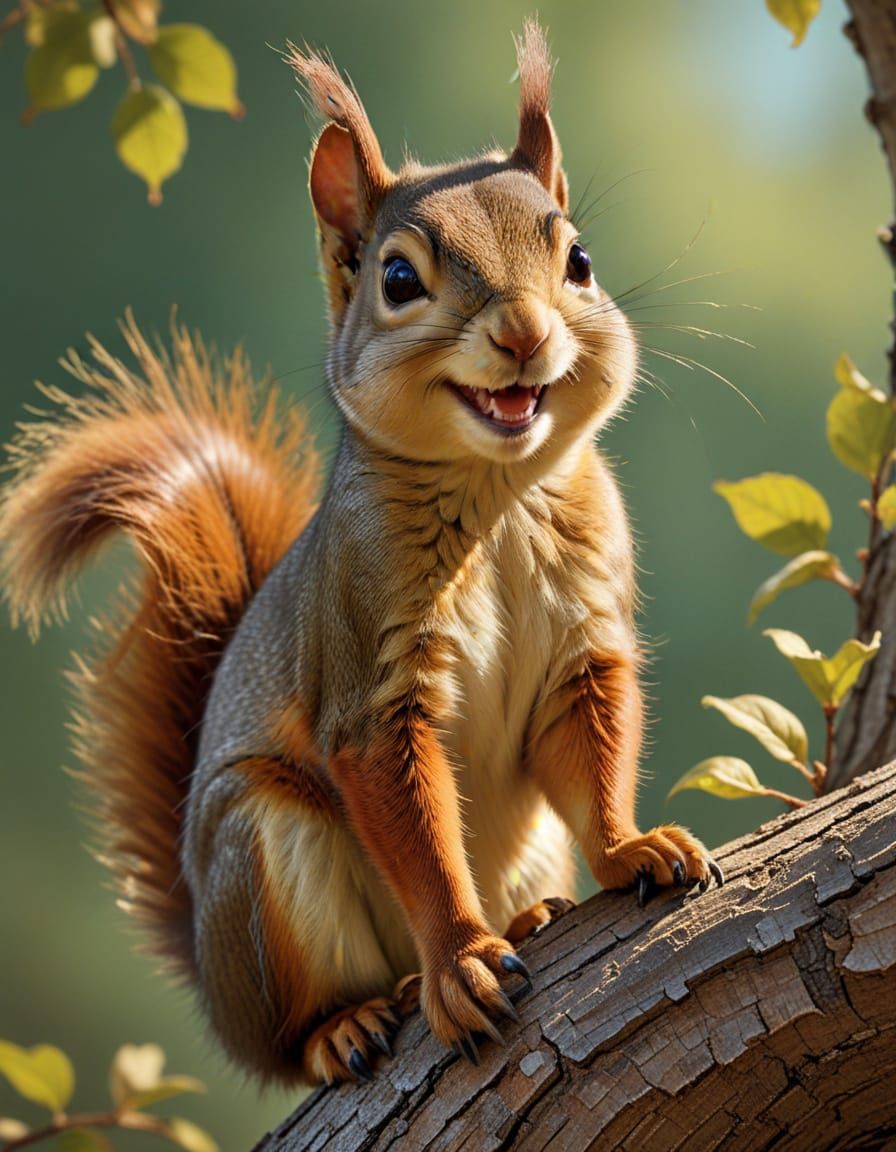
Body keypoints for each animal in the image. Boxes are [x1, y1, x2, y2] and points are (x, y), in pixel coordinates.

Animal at [0, 21, 722, 1087]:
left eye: (580, 259)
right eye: (397, 279)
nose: (524, 332)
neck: (496, 496)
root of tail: (216, 988)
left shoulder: (581, 643)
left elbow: (592, 759)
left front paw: (634, 848)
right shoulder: (369, 665)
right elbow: (413, 828)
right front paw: (461, 958)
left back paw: (530, 912)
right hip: (265, 860)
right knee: (295, 1035)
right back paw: (349, 1020)